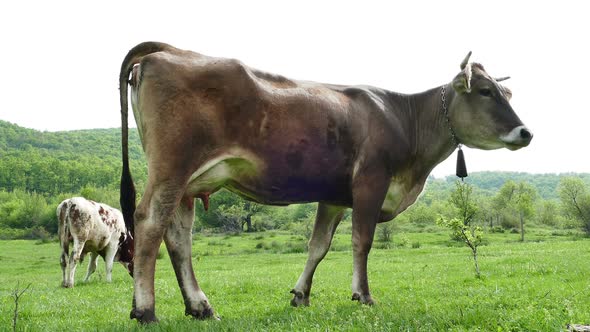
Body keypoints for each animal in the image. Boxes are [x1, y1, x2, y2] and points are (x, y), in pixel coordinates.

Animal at [118, 42, 536, 322]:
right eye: (485, 91)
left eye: (506, 92)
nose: (526, 132)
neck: (405, 119)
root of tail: (167, 51)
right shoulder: (371, 182)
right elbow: (361, 242)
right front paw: (363, 295)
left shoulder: (333, 196)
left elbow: (317, 246)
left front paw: (300, 295)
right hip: (172, 167)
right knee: (150, 223)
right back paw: (146, 310)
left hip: (188, 182)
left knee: (178, 237)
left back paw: (200, 306)